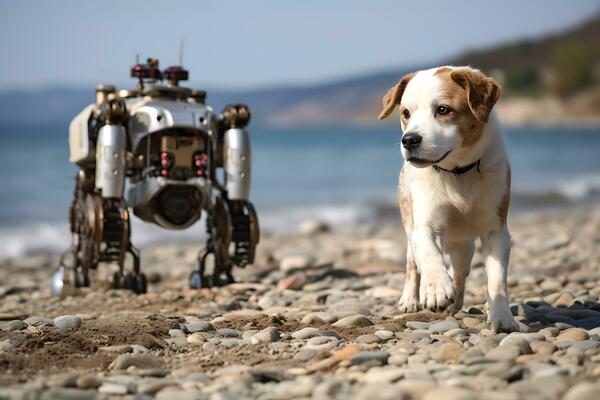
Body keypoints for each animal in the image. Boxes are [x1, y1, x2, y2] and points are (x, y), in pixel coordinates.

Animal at [378, 65, 516, 332]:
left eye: (443, 110)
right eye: (406, 113)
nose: (409, 140)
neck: (457, 173)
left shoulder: (496, 228)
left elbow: (496, 279)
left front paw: (501, 315)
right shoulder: (424, 224)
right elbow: (430, 254)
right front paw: (436, 288)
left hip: (465, 249)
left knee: (460, 274)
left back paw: (458, 303)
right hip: (408, 222)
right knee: (412, 266)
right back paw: (410, 299)